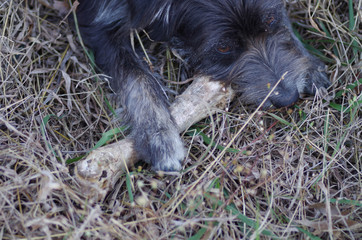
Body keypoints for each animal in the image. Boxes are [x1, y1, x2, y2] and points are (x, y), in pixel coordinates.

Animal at [75, 0, 330, 172]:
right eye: (223, 47)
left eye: (269, 20)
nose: (287, 97)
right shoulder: (97, 23)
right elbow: (136, 77)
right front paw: (159, 134)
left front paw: (310, 66)